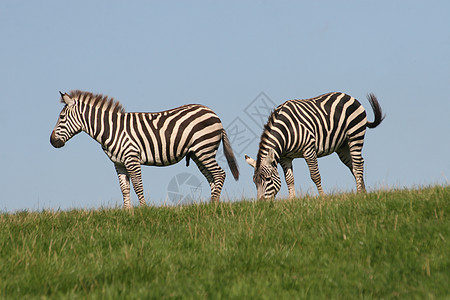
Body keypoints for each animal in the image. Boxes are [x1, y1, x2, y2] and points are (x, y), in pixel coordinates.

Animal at [50, 89, 239, 207]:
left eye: (61, 117)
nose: (52, 141)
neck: (112, 129)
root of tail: (214, 113)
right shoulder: (118, 163)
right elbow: (125, 189)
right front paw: (127, 212)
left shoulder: (131, 158)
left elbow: (137, 186)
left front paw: (143, 210)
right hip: (198, 153)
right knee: (211, 177)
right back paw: (211, 205)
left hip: (204, 148)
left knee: (220, 174)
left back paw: (213, 205)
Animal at [246, 91, 384, 199]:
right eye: (254, 182)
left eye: (267, 179)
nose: (261, 204)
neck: (287, 130)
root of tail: (349, 96)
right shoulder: (285, 157)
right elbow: (289, 179)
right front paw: (292, 200)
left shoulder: (309, 149)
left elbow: (315, 175)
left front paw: (322, 197)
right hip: (343, 146)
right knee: (354, 166)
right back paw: (363, 193)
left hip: (355, 135)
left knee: (358, 164)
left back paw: (359, 193)